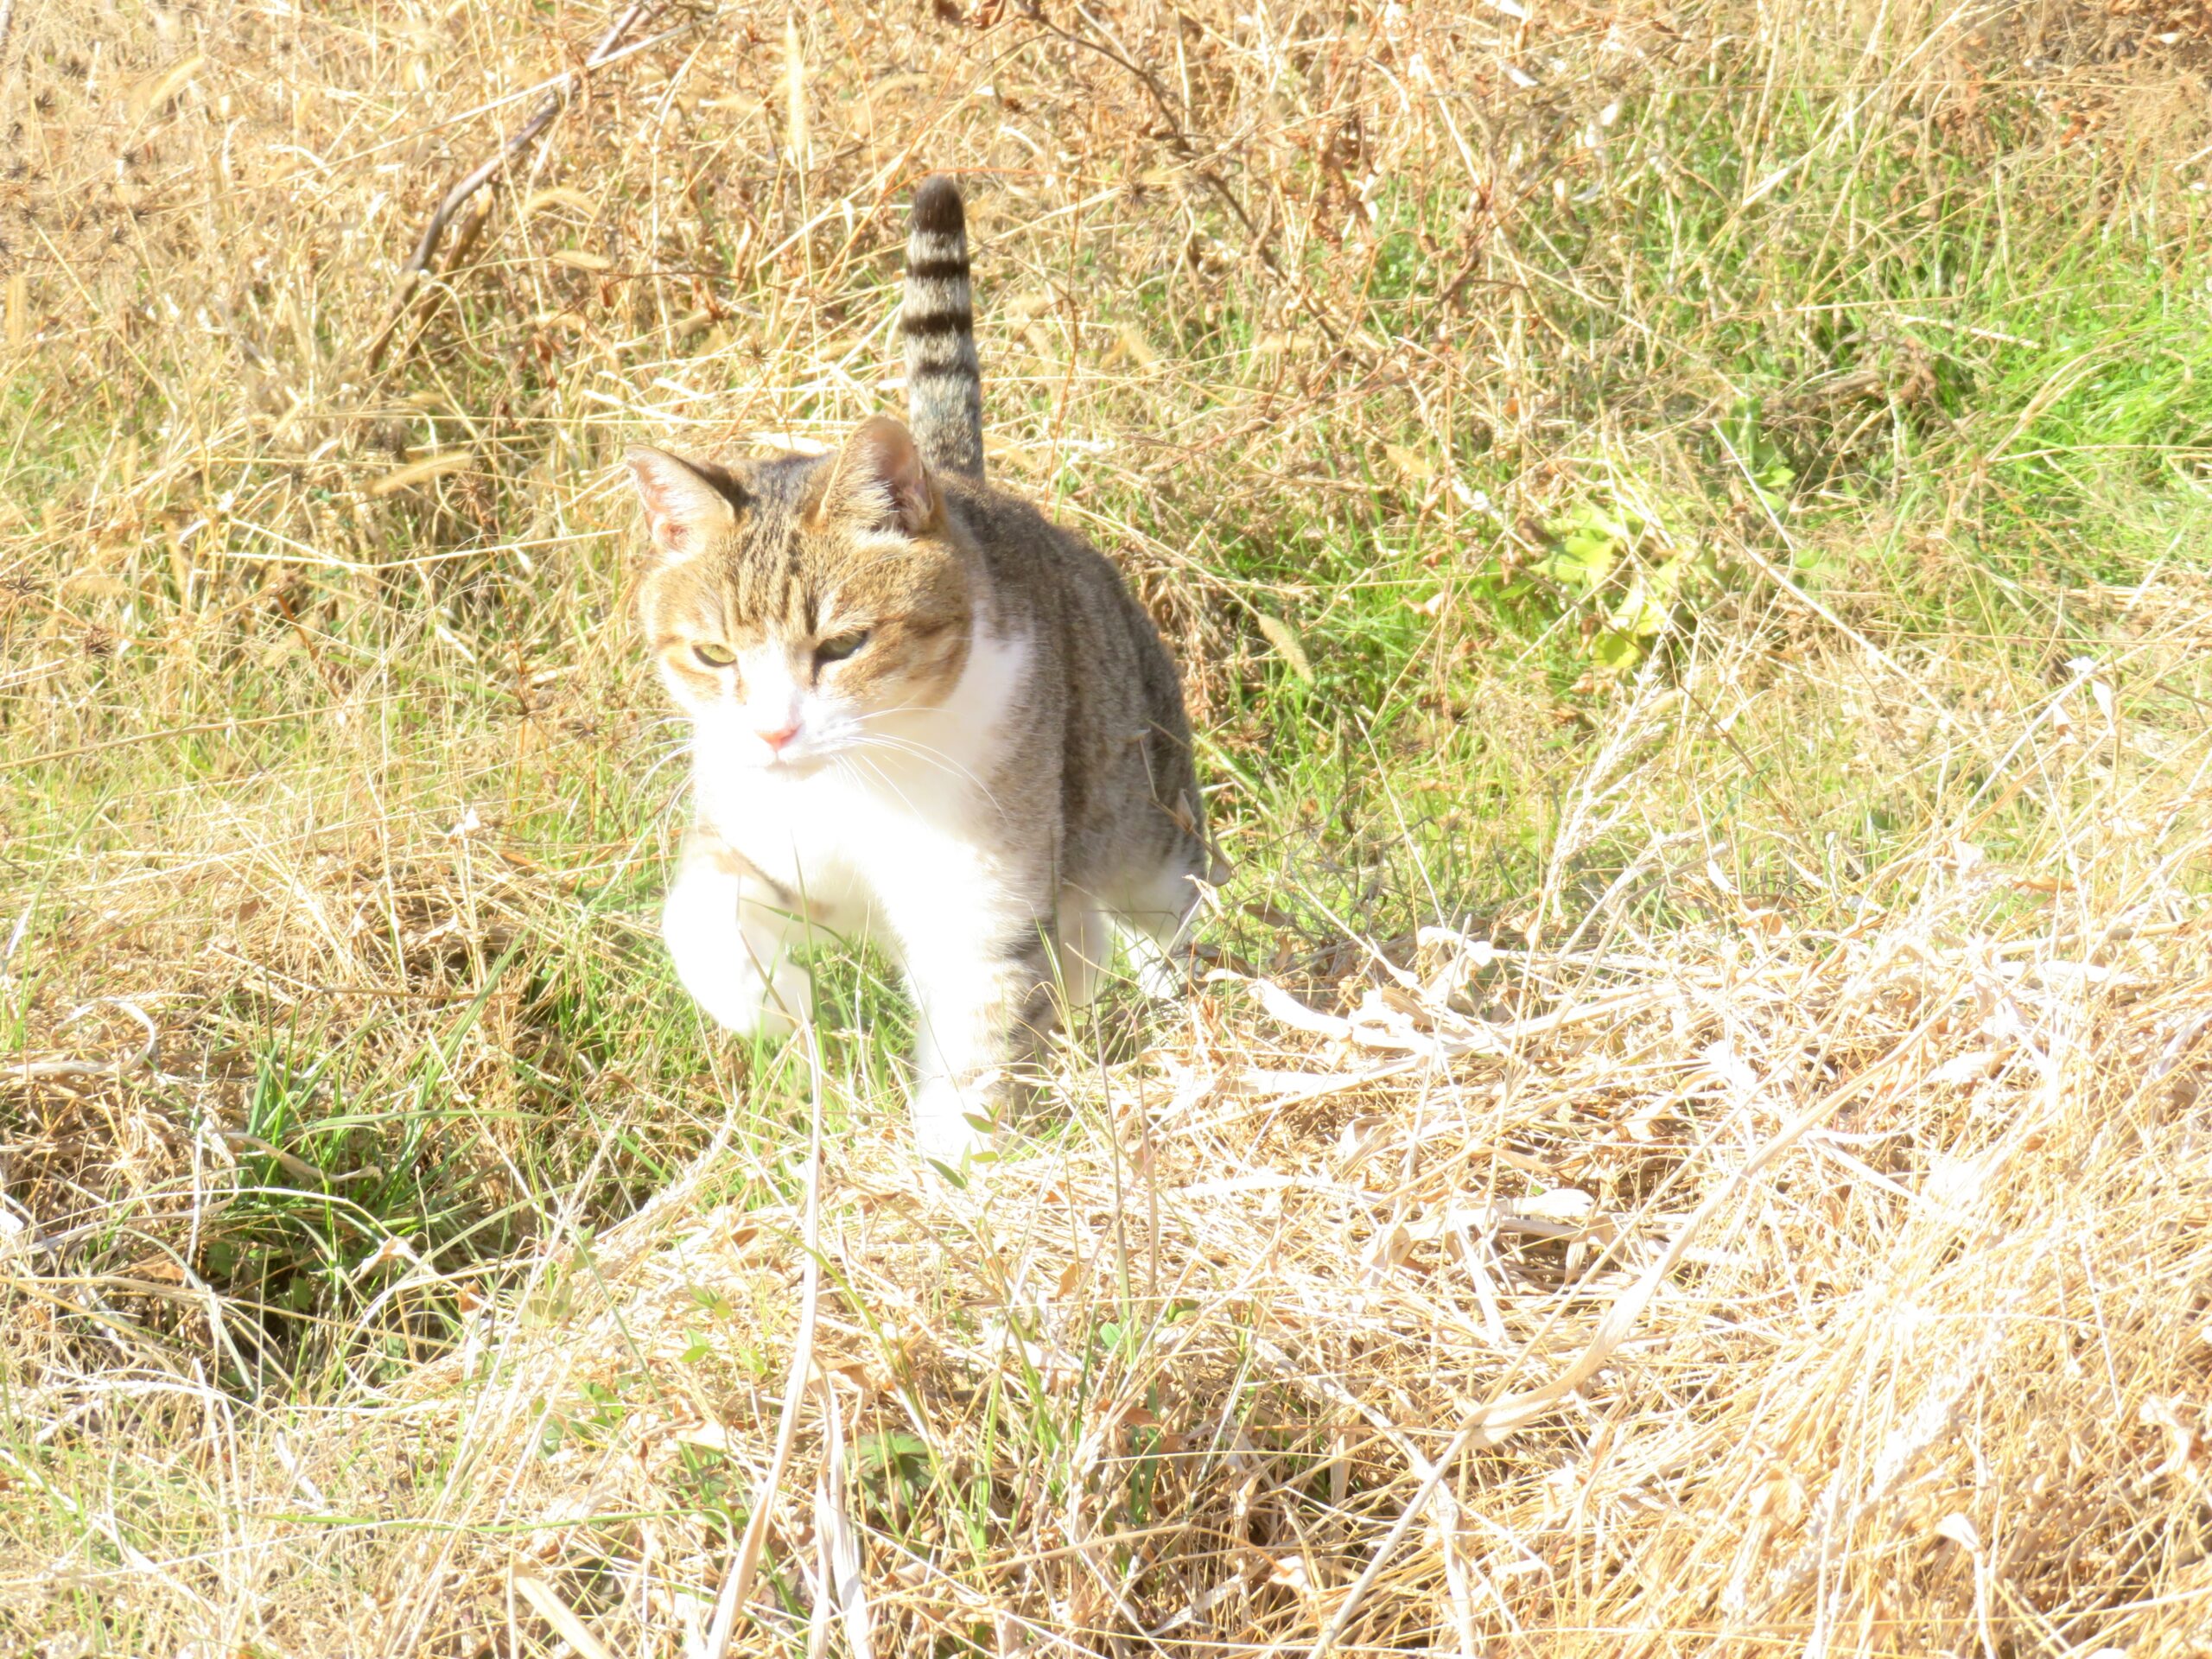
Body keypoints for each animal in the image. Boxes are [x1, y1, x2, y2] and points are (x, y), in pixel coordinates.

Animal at [623, 172, 1221, 1167]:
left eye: (842, 647)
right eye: (713, 654)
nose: (775, 731)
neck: (855, 783)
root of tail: (961, 482)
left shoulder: (982, 913)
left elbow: (977, 1055)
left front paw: (956, 1179)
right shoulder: (754, 837)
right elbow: (699, 917)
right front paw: (771, 1001)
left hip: (1144, 818)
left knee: (1164, 914)